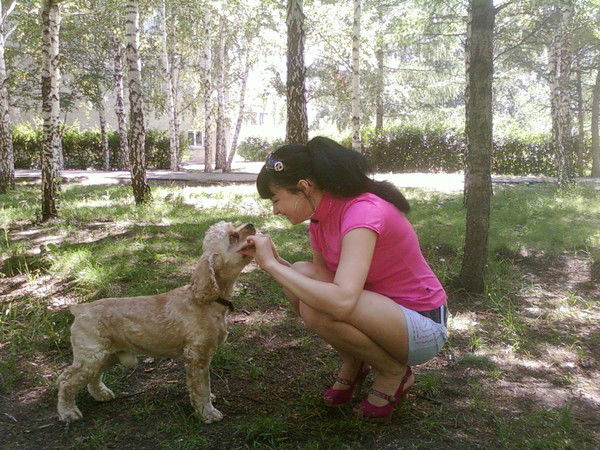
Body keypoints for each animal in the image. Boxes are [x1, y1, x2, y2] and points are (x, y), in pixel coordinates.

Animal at [55, 223, 254, 424]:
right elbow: (201, 387)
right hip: (92, 356)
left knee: (93, 377)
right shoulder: (197, 355)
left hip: (107, 355)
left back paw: (101, 394)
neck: (207, 300)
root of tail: (80, 308)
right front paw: (207, 412)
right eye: (232, 237)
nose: (251, 225)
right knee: (66, 380)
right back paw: (68, 412)